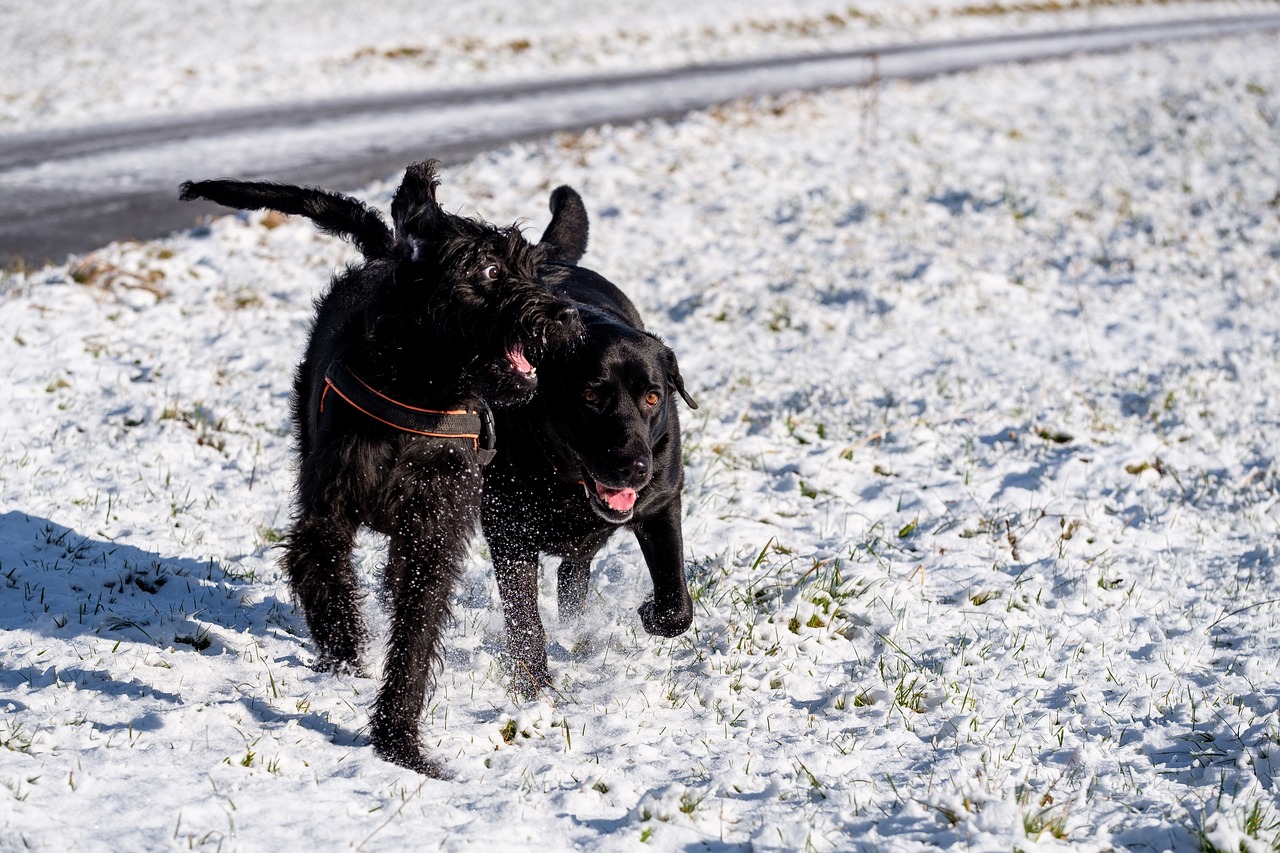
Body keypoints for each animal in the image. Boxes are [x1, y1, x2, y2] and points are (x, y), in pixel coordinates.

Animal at [179, 159, 581, 768]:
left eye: (534, 269)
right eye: (489, 270)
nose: (566, 314)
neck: (422, 389)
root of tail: (387, 251)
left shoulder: (434, 530)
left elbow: (416, 630)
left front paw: (399, 740)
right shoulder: (327, 512)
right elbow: (321, 570)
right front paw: (346, 650)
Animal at [481, 183, 701, 696]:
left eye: (652, 396)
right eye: (590, 397)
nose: (633, 467)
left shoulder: (662, 499)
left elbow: (676, 602)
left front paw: (651, 611)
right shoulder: (507, 531)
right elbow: (524, 619)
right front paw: (535, 687)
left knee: (574, 570)